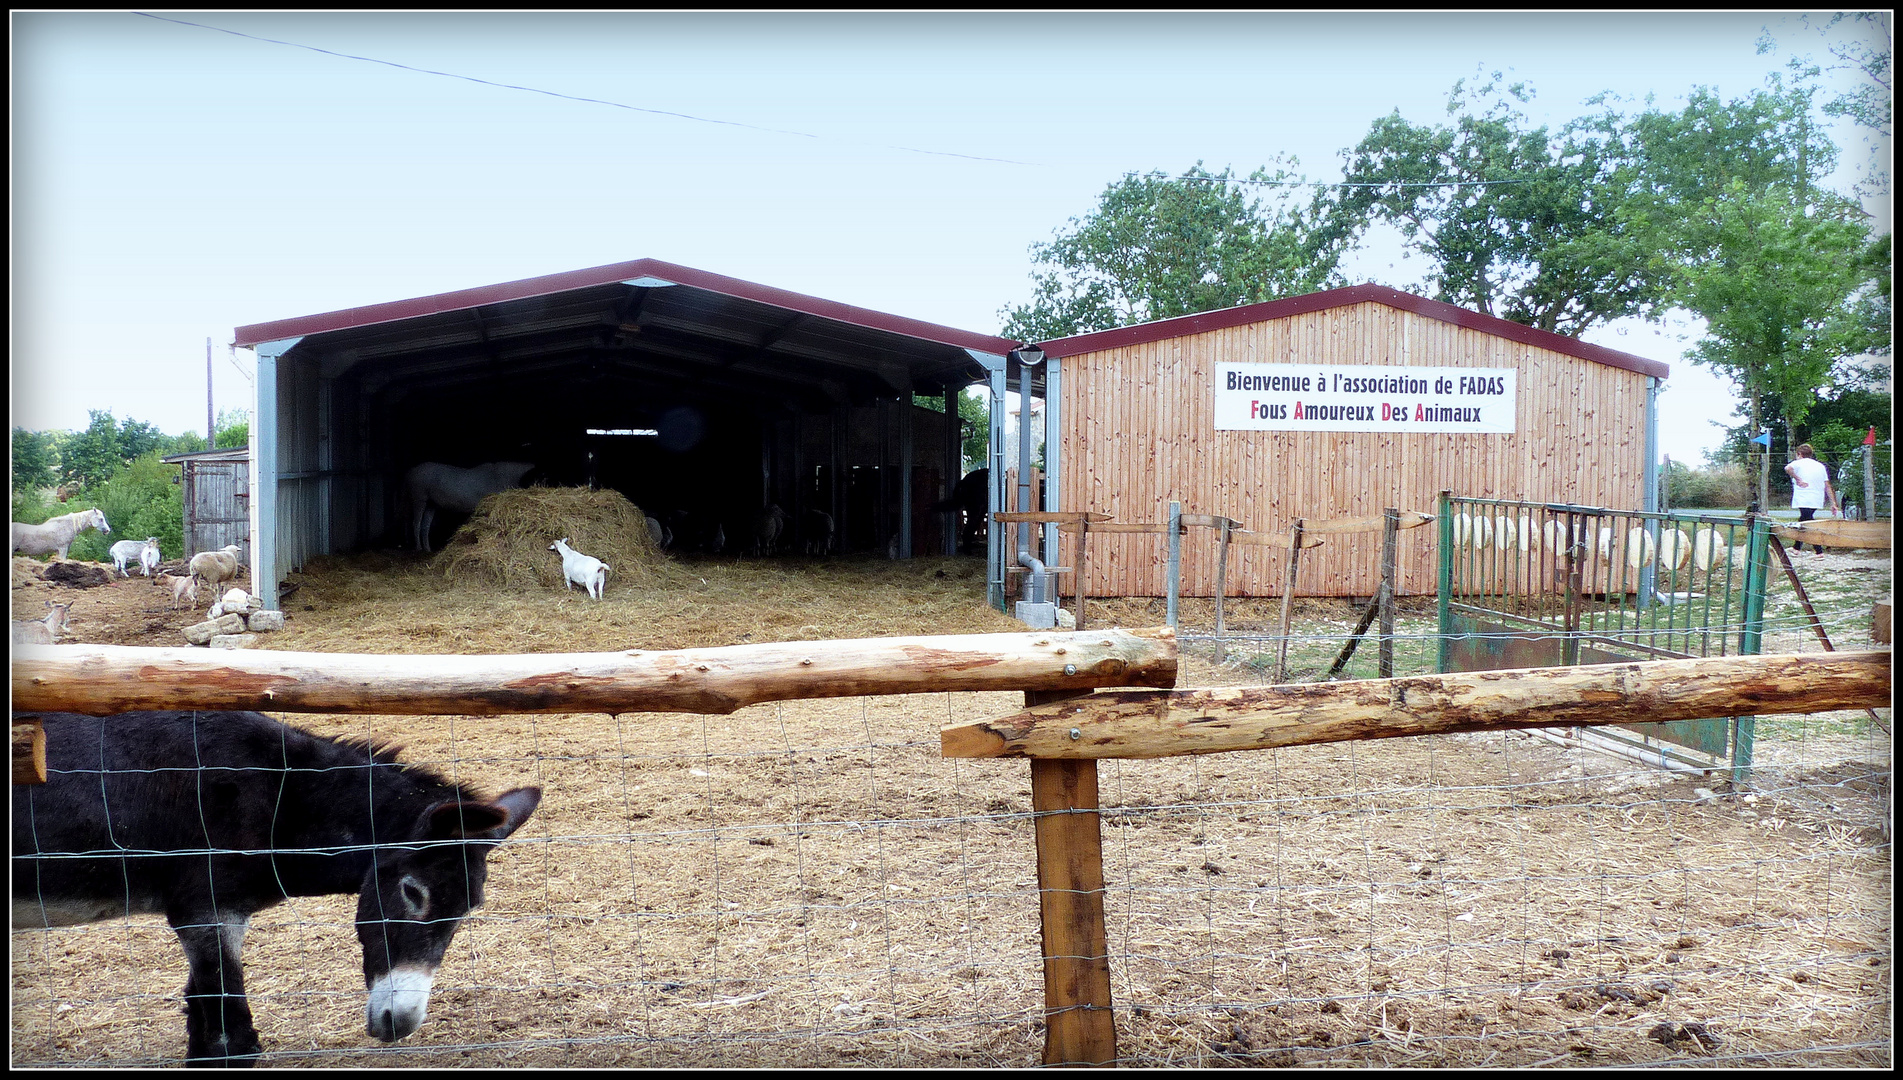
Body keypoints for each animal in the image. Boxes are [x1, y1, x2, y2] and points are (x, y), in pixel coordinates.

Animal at [11, 707, 540, 1064]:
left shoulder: (213, 917)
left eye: (467, 911)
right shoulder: (206, 912)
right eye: (414, 893)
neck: (280, 797)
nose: (401, 1024)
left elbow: (201, 1020)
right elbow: (232, 1039)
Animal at [407, 460, 536, 551]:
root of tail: (412, 470)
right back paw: (419, 548)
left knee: (425, 526)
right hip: (419, 499)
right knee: (416, 523)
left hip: (431, 504)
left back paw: (428, 549)